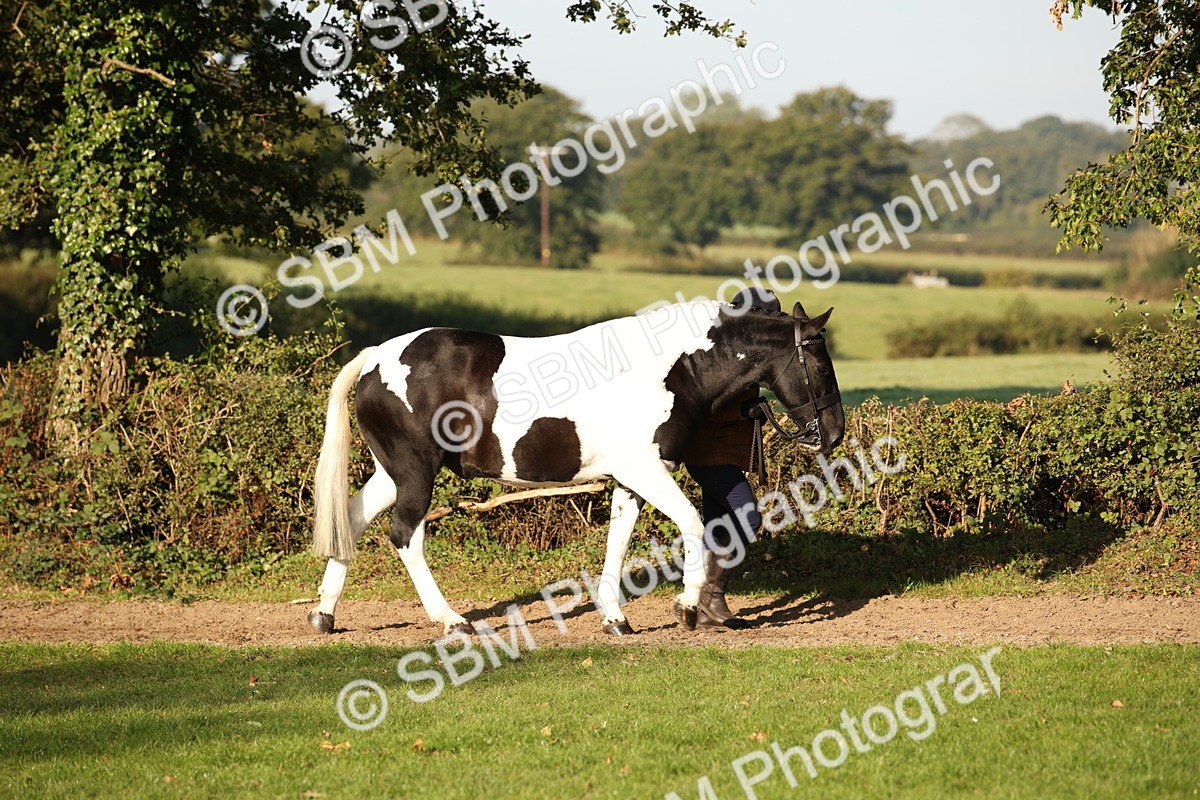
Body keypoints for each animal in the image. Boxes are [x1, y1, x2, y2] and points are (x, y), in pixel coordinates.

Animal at [307, 297, 845, 637]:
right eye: (820, 364)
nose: (835, 432)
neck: (672, 368)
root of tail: (374, 359)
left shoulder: (628, 480)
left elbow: (618, 542)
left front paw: (615, 619)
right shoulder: (646, 470)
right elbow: (693, 524)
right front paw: (687, 608)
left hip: (393, 473)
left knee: (352, 518)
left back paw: (324, 614)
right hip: (417, 474)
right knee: (405, 536)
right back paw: (451, 620)